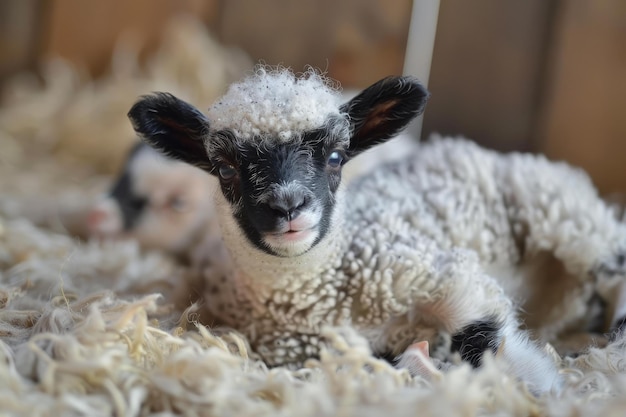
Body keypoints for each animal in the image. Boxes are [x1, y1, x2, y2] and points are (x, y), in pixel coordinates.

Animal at [127, 66, 624, 392]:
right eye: (226, 169)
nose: (288, 206)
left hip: (568, 219)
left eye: (335, 157)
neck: (322, 292)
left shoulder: (433, 269)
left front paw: (535, 382)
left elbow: (480, 333)